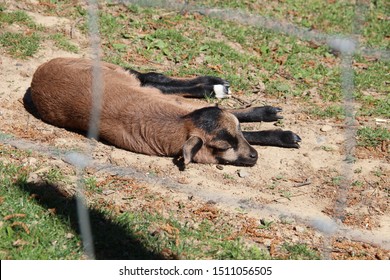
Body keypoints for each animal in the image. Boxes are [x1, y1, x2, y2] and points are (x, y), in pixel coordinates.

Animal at [29, 57, 302, 166]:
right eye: (223, 147)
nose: (254, 156)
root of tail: (37, 75)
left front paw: (271, 118)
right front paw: (285, 136)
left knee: (151, 77)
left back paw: (215, 86)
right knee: (152, 79)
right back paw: (215, 87)